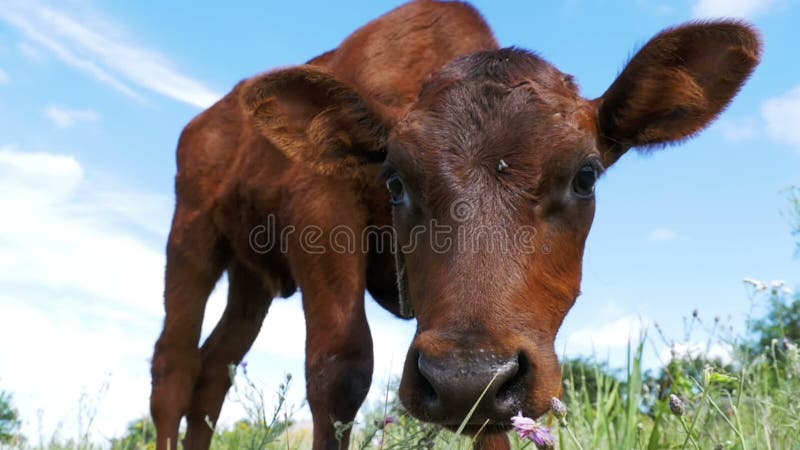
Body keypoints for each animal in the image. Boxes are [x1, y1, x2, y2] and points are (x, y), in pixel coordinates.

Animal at [152, 1, 764, 448]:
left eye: (586, 176)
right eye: (394, 180)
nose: (465, 375)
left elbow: (495, 419)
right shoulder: (320, 213)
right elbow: (339, 371)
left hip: (251, 278)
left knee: (214, 373)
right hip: (191, 234)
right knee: (174, 367)